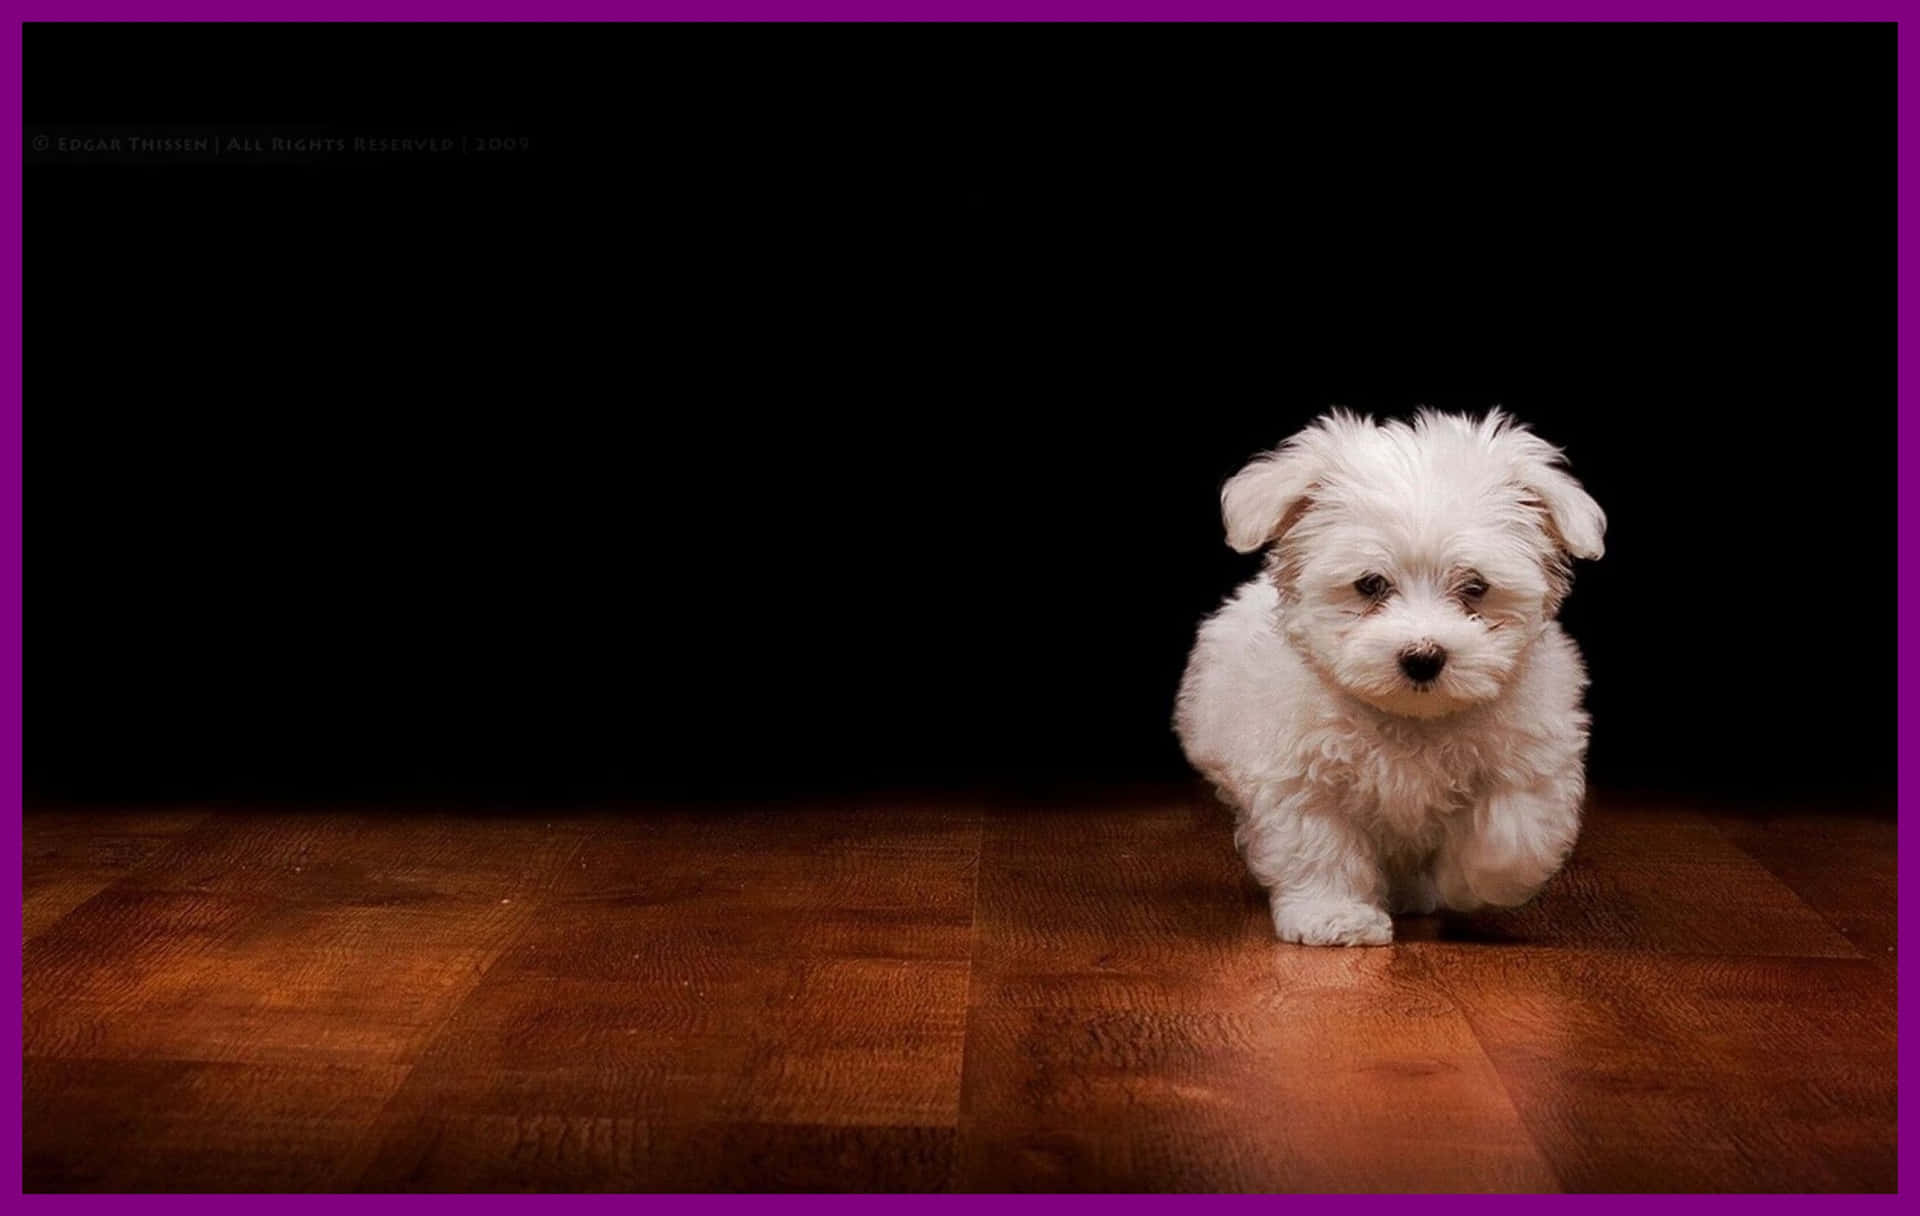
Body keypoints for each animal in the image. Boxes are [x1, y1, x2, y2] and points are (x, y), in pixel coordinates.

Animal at [1167, 413, 1605, 945]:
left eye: (1475, 587)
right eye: (1370, 585)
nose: (1423, 657)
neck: (1410, 718)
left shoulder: (1530, 756)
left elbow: (1512, 831)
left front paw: (1467, 883)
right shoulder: (1301, 774)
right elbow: (1319, 845)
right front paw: (1334, 915)